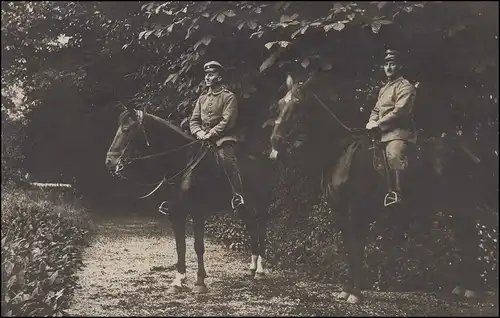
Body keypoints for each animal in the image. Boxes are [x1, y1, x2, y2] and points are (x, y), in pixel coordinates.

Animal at [105, 106, 274, 294]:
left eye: (127, 129)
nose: (109, 162)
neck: (184, 164)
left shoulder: (197, 214)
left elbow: (198, 247)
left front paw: (200, 281)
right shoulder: (176, 214)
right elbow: (181, 247)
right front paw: (179, 280)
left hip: (260, 205)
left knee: (261, 231)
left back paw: (260, 270)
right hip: (242, 207)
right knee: (252, 228)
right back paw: (252, 266)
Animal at [268, 73, 490, 304]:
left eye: (297, 105)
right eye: (280, 104)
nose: (275, 141)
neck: (341, 152)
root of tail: (468, 152)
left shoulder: (356, 211)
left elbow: (356, 248)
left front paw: (355, 292)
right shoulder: (340, 211)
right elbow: (348, 248)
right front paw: (346, 289)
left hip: (463, 207)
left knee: (470, 241)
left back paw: (471, 289)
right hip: (453, 210)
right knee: (464, 240)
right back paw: (462, 287)